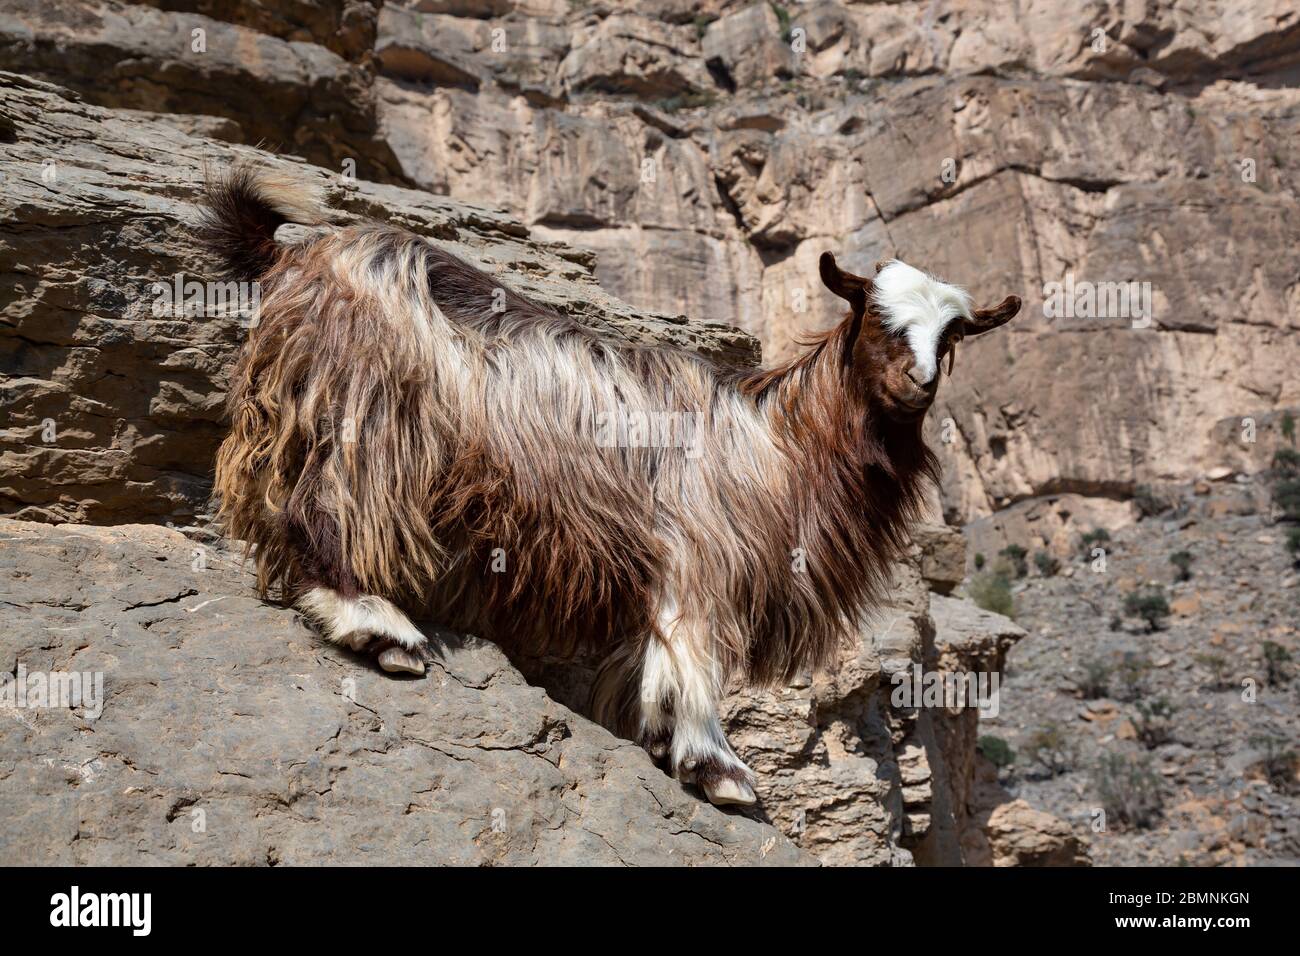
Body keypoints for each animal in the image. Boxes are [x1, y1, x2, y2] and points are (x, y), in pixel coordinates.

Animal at [197, 166, 1019, 806]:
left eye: (953, 337)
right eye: (876, 319)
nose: (916, 385)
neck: (779, 439)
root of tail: (296, 255)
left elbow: (655, 659)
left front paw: (662, 739)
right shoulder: (701, 552)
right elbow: (694, 652)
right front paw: (716, 766)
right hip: (359, 411)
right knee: (321, 506)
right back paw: (376, 626)